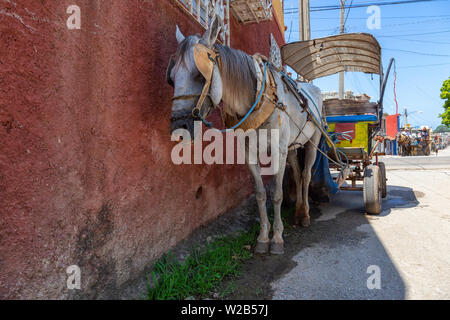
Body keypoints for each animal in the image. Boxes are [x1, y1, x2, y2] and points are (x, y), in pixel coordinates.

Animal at [168, 15, 324, 255]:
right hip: (291, 146)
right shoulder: (250, 153)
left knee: (306, 175)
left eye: (199, 75)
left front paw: (277, 238)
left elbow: (276, 194)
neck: (260, 97)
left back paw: (305, 215)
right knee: (298, 175)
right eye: (172, 78)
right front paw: (263, 237)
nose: (179, 128)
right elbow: (260, 194)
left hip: (312, 141)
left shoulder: (277, 151)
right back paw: (298, 212)